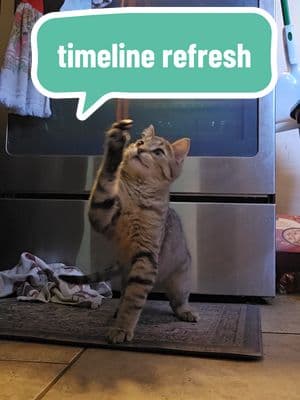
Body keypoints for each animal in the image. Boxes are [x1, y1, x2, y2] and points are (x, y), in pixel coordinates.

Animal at [59, 119, 198, 344]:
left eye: (158, 152)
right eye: (140, 142)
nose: (140, 148)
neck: (137, 195)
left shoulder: (146, 256)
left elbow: (134, 301)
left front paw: (122, 328)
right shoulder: (101, 216)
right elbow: (105, 183)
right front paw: (115, 148)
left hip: (180, 280)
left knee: (177, 301)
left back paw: (186, 311)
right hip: (127, 274)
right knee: (124, 294)